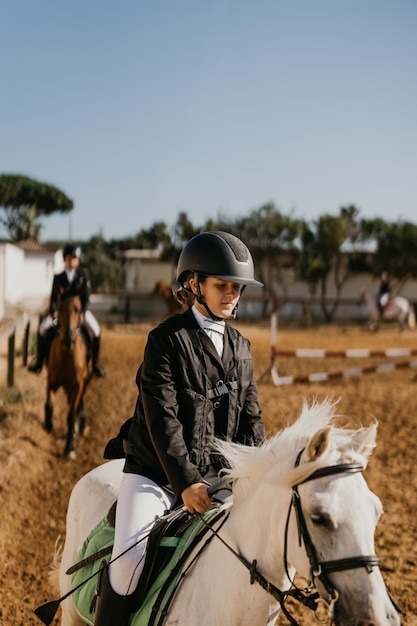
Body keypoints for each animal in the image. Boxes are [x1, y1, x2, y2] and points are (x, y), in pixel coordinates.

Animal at [44, 292, 91, 458]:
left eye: (77, 309)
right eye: (59, 308)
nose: (68, 339)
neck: (66, 355)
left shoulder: (78, 385)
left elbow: (71, 414)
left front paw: (69, 447)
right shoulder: (51, 381)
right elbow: (49, 404)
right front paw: (48, 424)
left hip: (84, 382)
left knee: (78, 404)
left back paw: (81, 425)